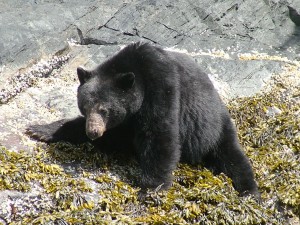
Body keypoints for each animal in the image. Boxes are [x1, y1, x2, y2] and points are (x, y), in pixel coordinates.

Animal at [27, 41, 258, 197]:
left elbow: (159, 134)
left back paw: (249, 191)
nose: (93, 132)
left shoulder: (162, 86)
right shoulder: (124, 121)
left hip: (214, 128)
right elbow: (113, 137)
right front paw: (41, 129)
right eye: (84, 107)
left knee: (233, 158)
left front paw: (150, 188)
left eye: (104, 110)